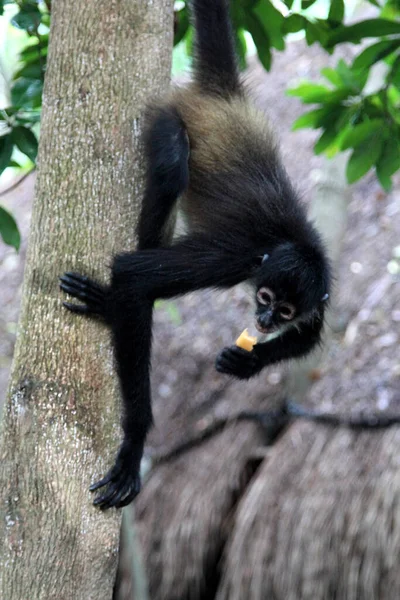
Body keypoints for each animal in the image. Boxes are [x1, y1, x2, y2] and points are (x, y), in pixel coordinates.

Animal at [60, 0, 332, 508]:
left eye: (285, 311)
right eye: (265, 299)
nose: (265, 322)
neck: (285, 244)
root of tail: (225, 95)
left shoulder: (321, 285)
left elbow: (310, 335)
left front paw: (248, 363)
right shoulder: (235, 257)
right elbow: (132, 275)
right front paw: (134, 444)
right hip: (170, 117)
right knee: (171, 168)